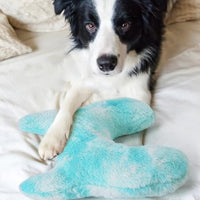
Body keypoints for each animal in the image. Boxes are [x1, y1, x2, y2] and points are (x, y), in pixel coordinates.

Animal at [38, 0, 168, 159]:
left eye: (125, 24)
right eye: (90, 25)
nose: (106, 64)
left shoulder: (140, 91)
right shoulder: (84, 81)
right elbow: (66, 105)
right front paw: (52, 139)